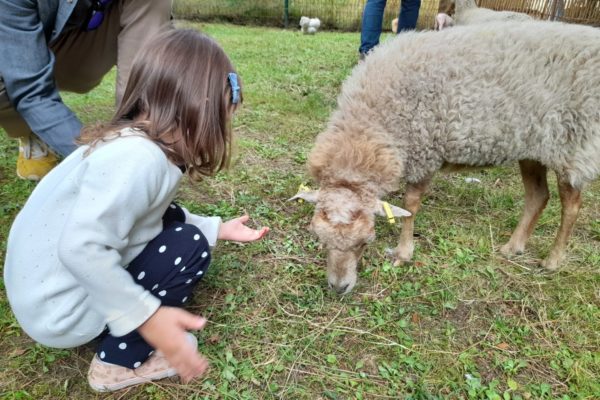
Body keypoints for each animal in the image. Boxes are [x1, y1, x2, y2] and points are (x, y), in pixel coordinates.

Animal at [292, 20, 600, 296]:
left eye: (367, 241)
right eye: (319, 238)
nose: (338, 288)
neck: (373, 124)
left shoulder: (424, 152)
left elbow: (411, 204)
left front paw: (403, 252)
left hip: (573, 144)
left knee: (571, 206)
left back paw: (553, 260)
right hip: (533, 145)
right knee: (538, 196)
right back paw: (513, 247)